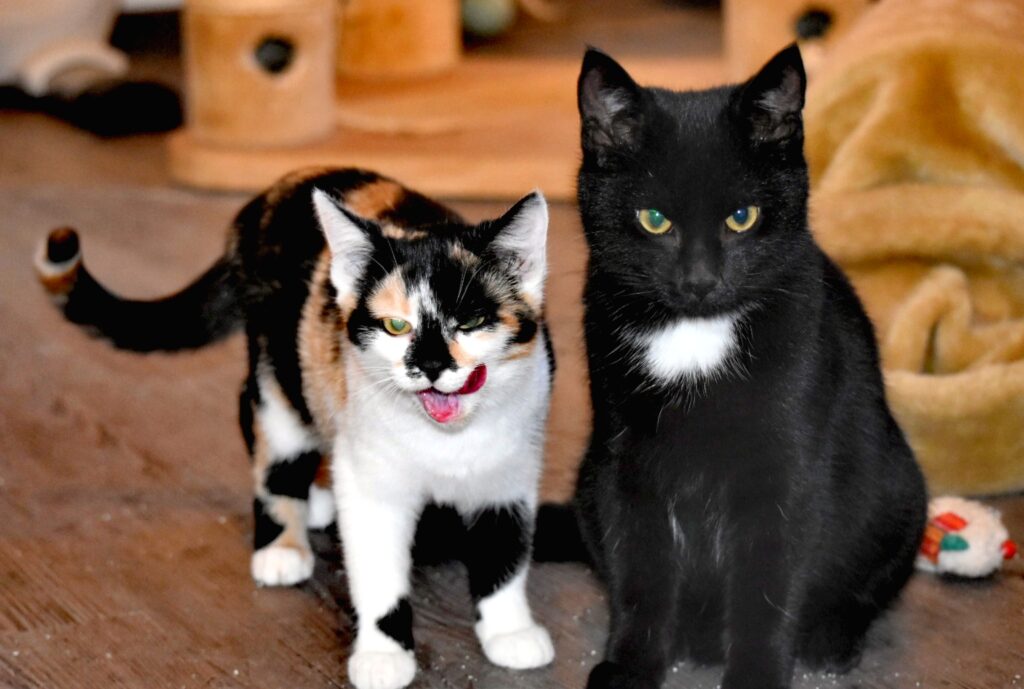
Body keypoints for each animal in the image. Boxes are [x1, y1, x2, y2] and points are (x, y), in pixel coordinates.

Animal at [34, 166, 552, 687]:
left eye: (471, 321)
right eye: (395, 326)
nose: (428, 366)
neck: (448, 439)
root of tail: (268, 194)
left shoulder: (512, 472)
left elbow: (505, 554)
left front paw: (510, 631)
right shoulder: (371, 478)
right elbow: (378, 566)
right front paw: (383, 654)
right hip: (278, 372)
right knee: (270, 437)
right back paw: (282, 543)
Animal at [569, 47, 929, 687]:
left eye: (742, 217)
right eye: (654, 219)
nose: (699, 281)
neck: (695, 336)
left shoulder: (784, 470)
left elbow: (767, 584)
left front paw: (756, 673)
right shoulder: (623, 464)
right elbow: (640, 576)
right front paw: (631, 667)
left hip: (899, 491)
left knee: (867, 587)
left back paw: (830, 640)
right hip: (587, 484)